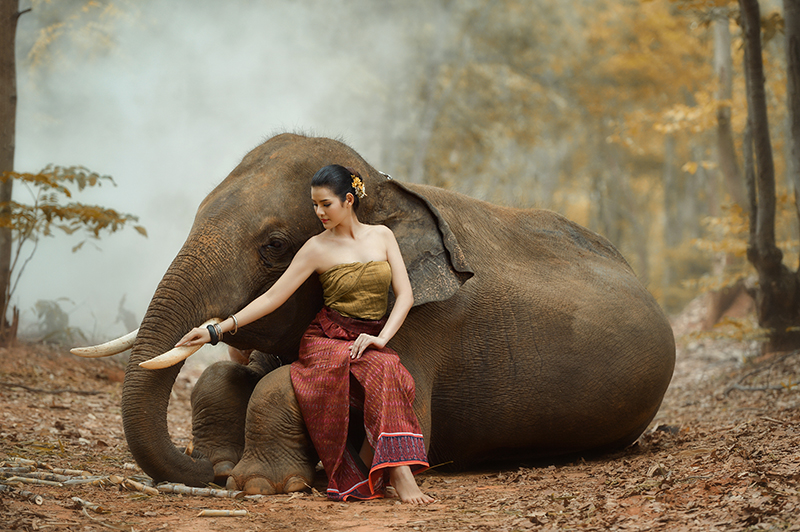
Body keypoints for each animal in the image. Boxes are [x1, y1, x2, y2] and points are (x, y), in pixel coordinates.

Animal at [75, 133, 676, 494]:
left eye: (274, 246)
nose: (211, 472)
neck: (388, 187)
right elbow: (231, 376)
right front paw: (227, 466)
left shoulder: (424, 321)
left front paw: (260, 485)